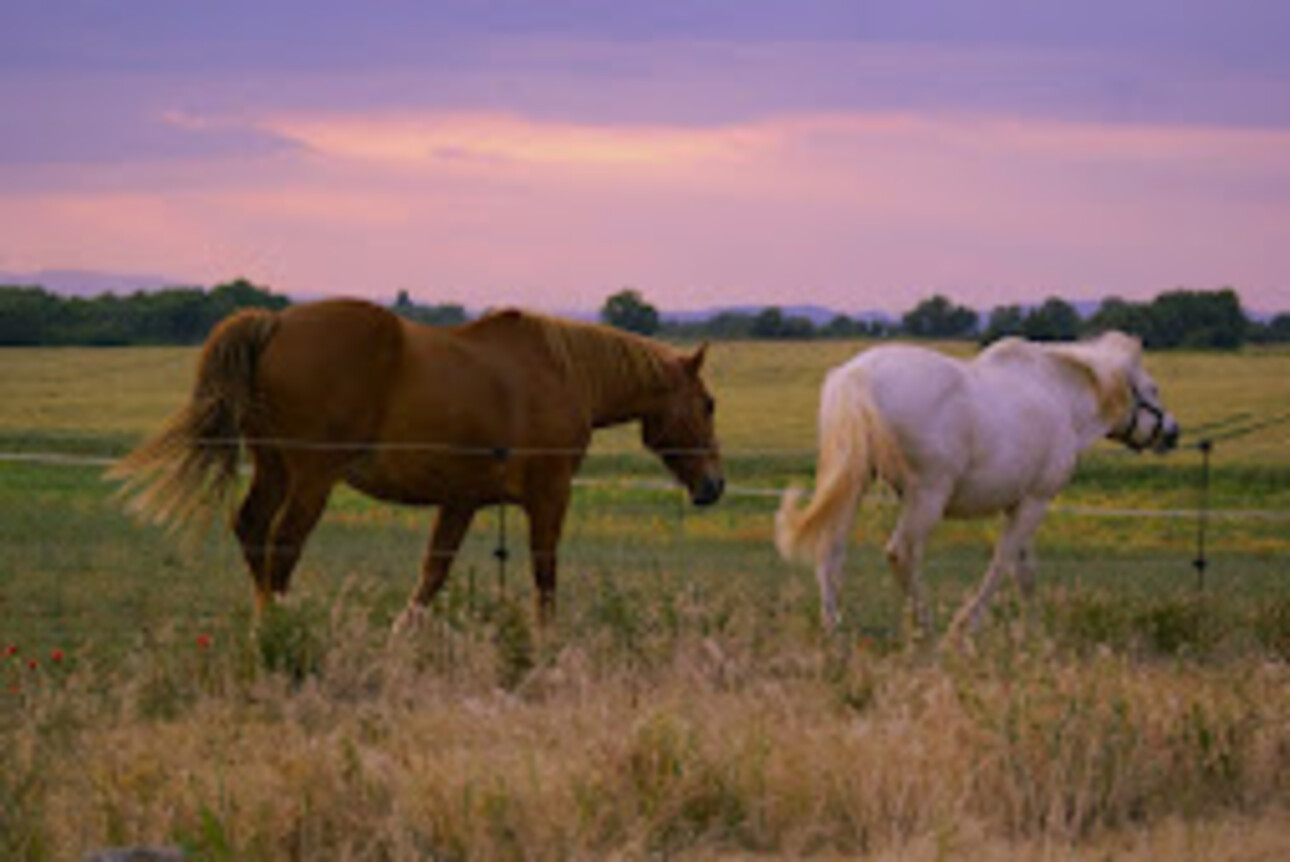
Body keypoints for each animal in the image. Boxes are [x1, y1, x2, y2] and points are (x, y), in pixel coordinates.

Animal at [110, 298, 727, 627]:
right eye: (708, 404)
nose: (714, 486)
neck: (562, 371)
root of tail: (276, 322)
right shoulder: (550, 494)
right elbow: (545, 574)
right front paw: (546, 642)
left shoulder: (461, 500)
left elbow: (432, 575)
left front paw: (403, 637)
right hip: (311, 480)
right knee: (282, 546)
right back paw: (285, 631)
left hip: (275, 470)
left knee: (253, 532)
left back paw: (268, 624)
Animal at [774, 330, 1181, 640]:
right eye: (1153, 389)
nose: (1173, 434)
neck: (1056, 395)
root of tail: (857, 375)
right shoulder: (1035, 502)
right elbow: (1002, 563)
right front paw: (967, 625)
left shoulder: (1018, 503)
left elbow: (1024, 571)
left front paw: (1032, 634)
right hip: (927, 497)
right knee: (901, 552)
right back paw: (924, 631)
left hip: (855, 484)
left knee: (830, 551)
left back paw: (835, 633)